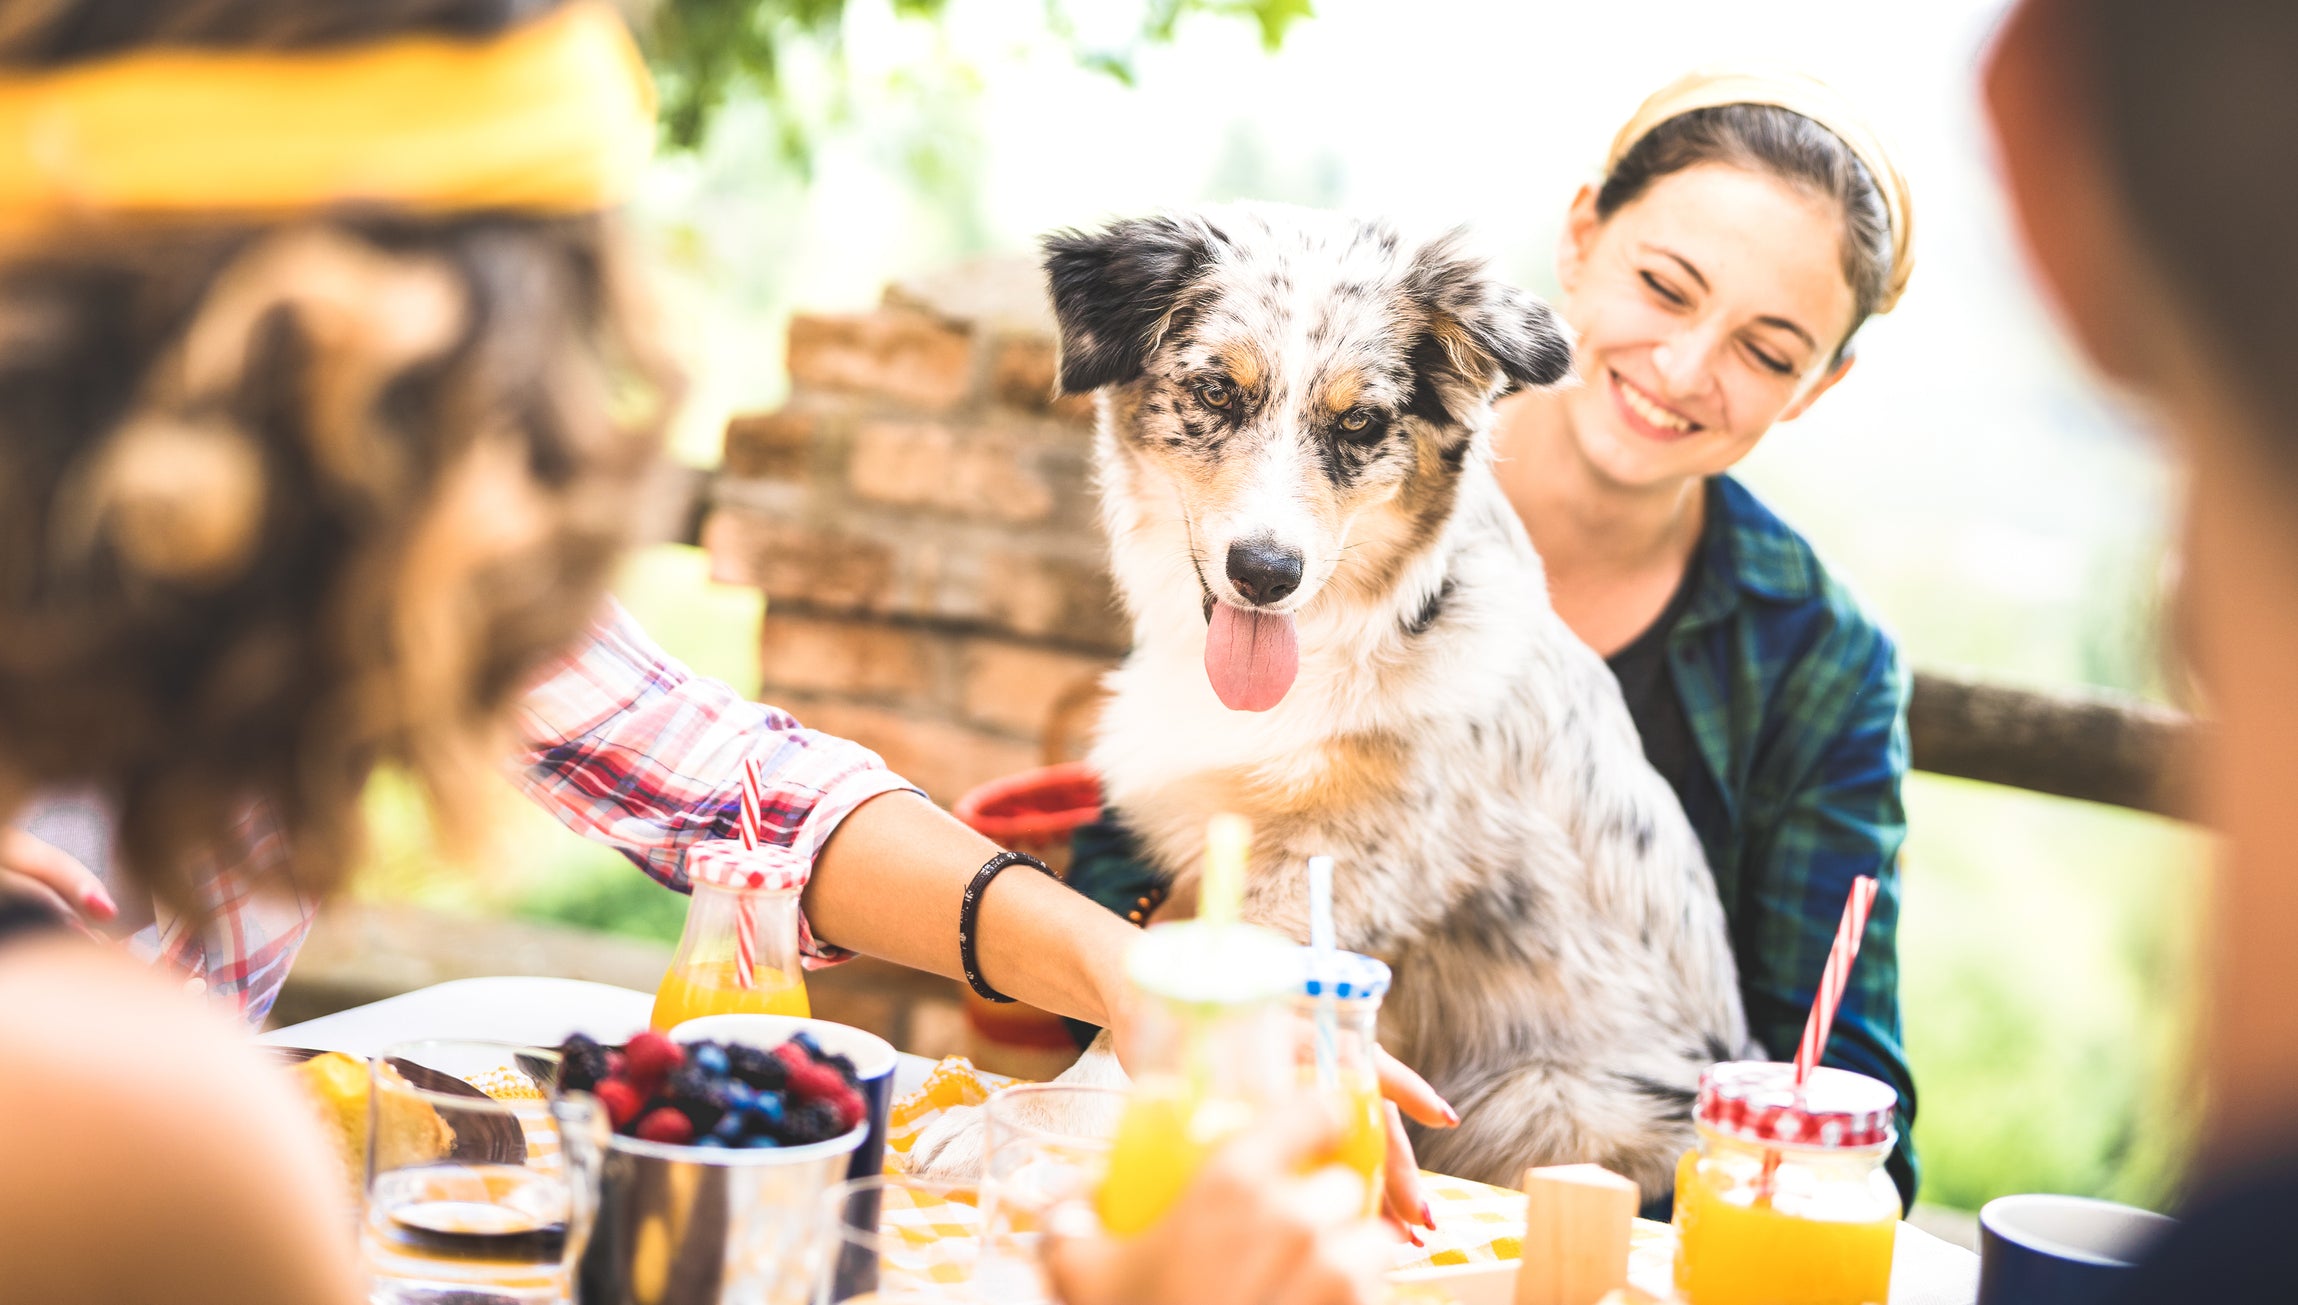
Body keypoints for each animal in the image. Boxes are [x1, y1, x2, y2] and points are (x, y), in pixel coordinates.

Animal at [914, 206, 1737, 1203]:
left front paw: (1031, 1126)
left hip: (1549, 1096)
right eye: (1216, 392)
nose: (1266, 573)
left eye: (1360, 421)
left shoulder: (1339, 867)